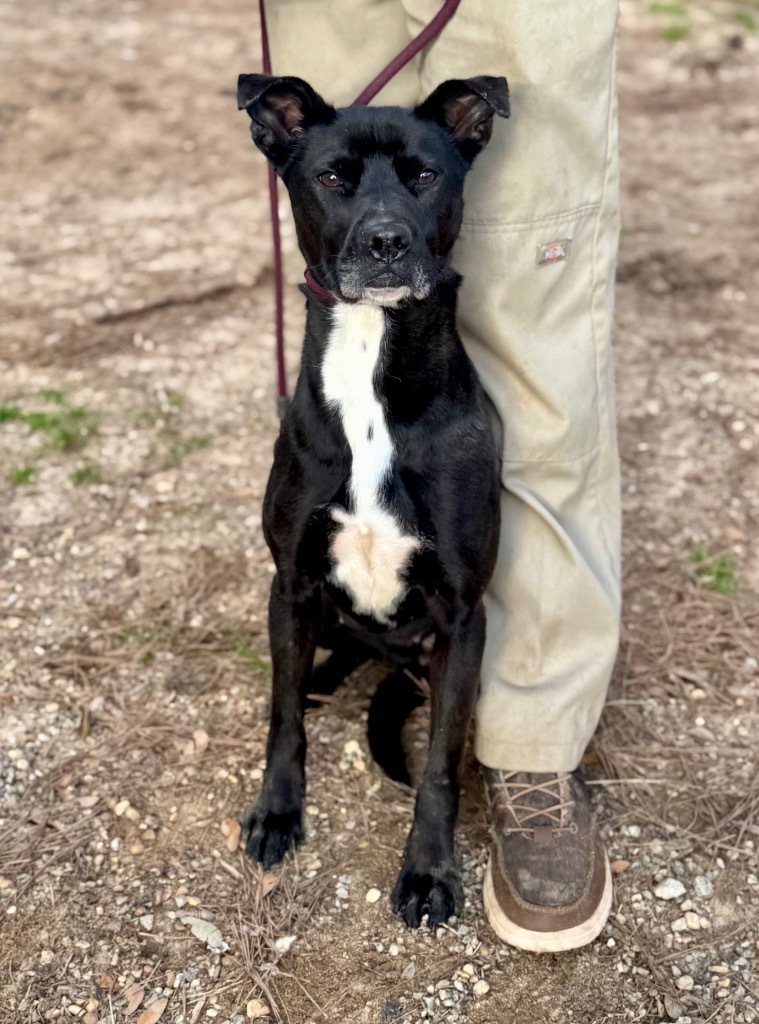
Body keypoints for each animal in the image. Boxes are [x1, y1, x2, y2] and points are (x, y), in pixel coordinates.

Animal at [236, 68, 510, 925]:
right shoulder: (290, 582)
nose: (386, 242)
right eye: (332, 177)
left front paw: (428, 871)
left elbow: (440, 765)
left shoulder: (461, 615)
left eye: (424, 175)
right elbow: (282, 717)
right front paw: (278, 812)